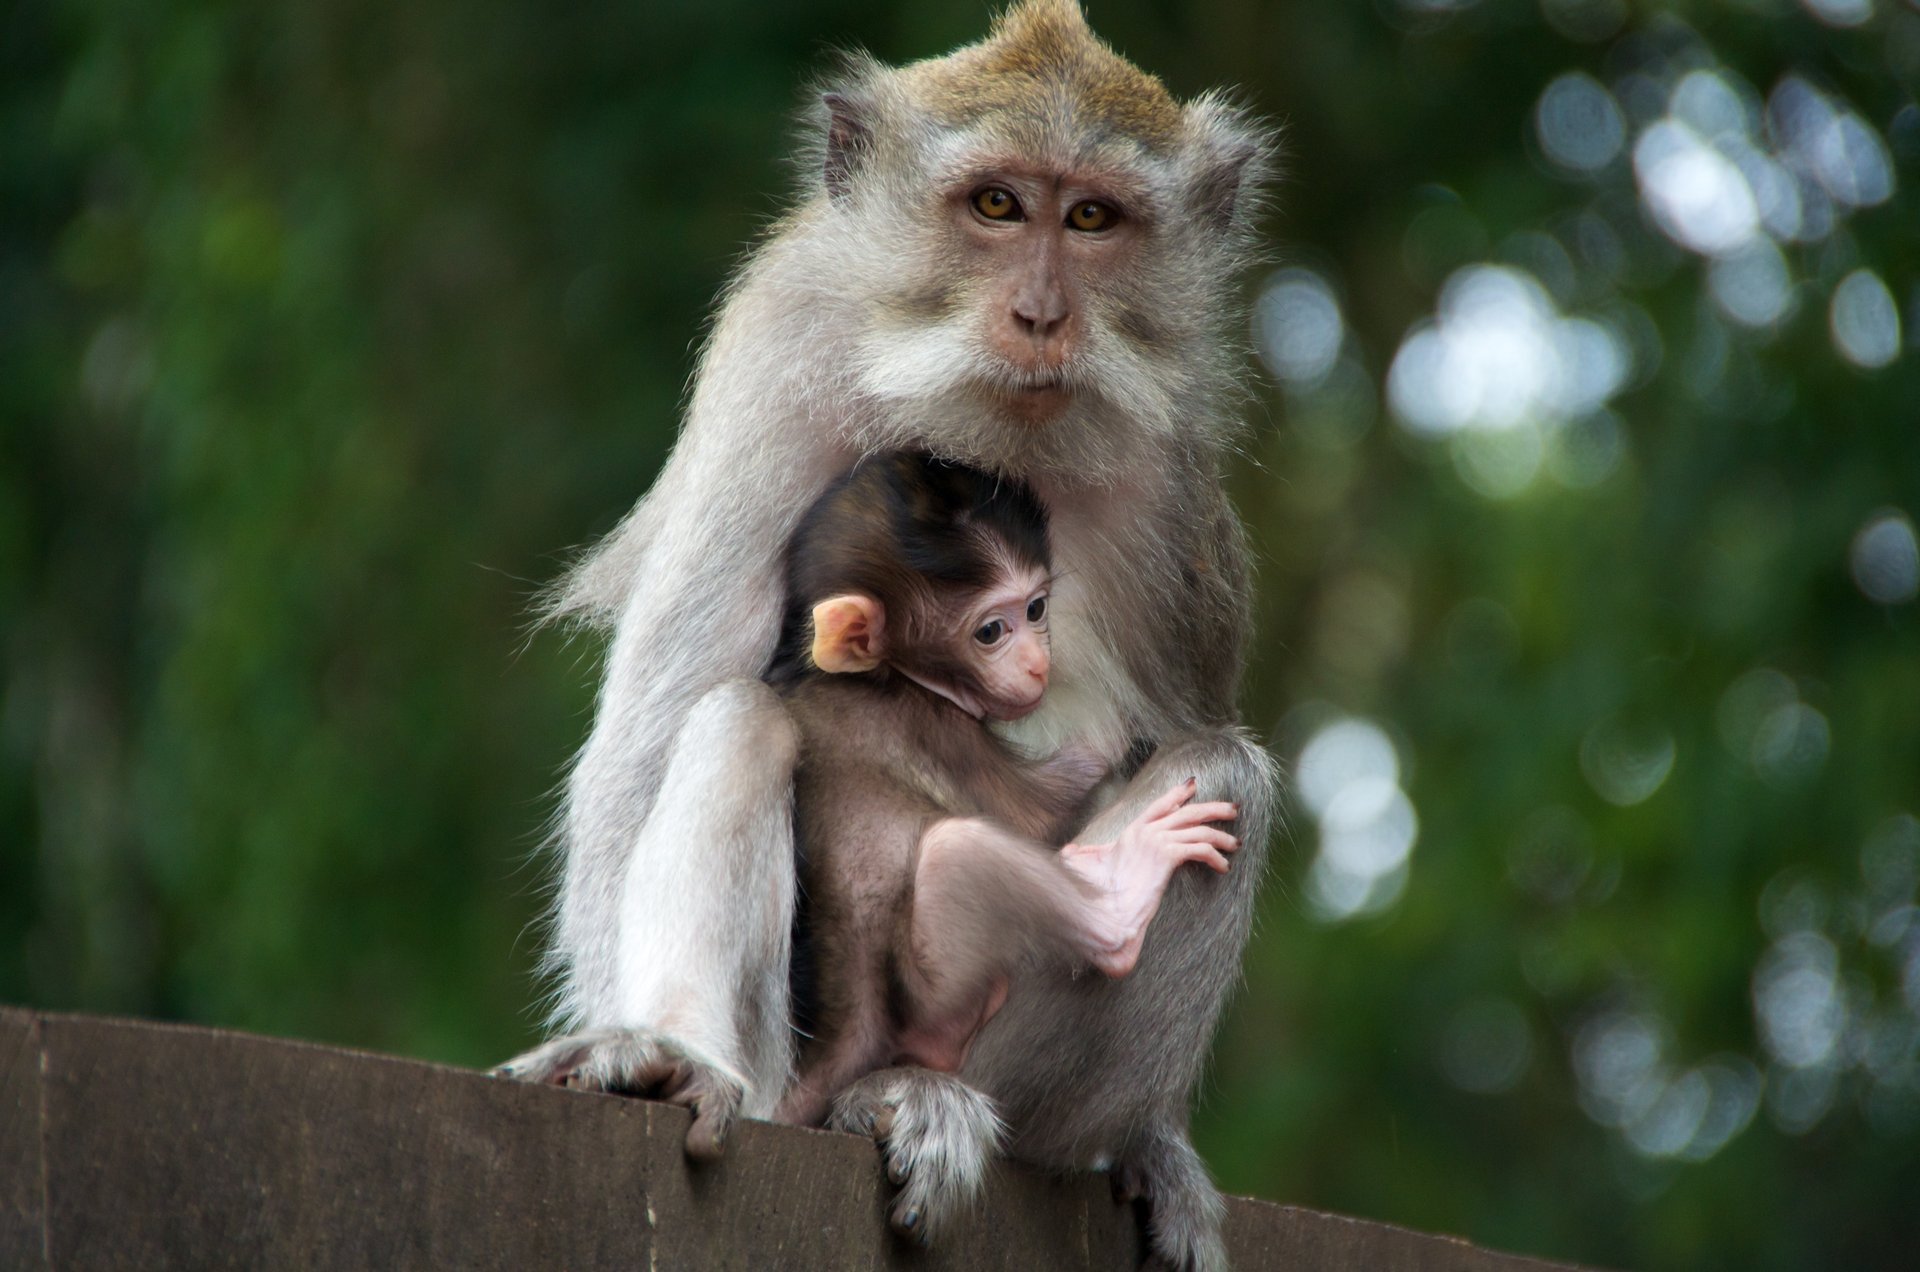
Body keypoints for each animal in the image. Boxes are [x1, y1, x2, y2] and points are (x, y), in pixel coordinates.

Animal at [764, 452, 1240, 1129]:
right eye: (990, 631)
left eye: (1036, 610)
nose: (1039, 665)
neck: (884, 675)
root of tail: (845, 1039)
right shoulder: (936, 729)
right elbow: (1036, 811)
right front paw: (1113, 733)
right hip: (935, 1003)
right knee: (959, 851)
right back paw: (1120, 896)